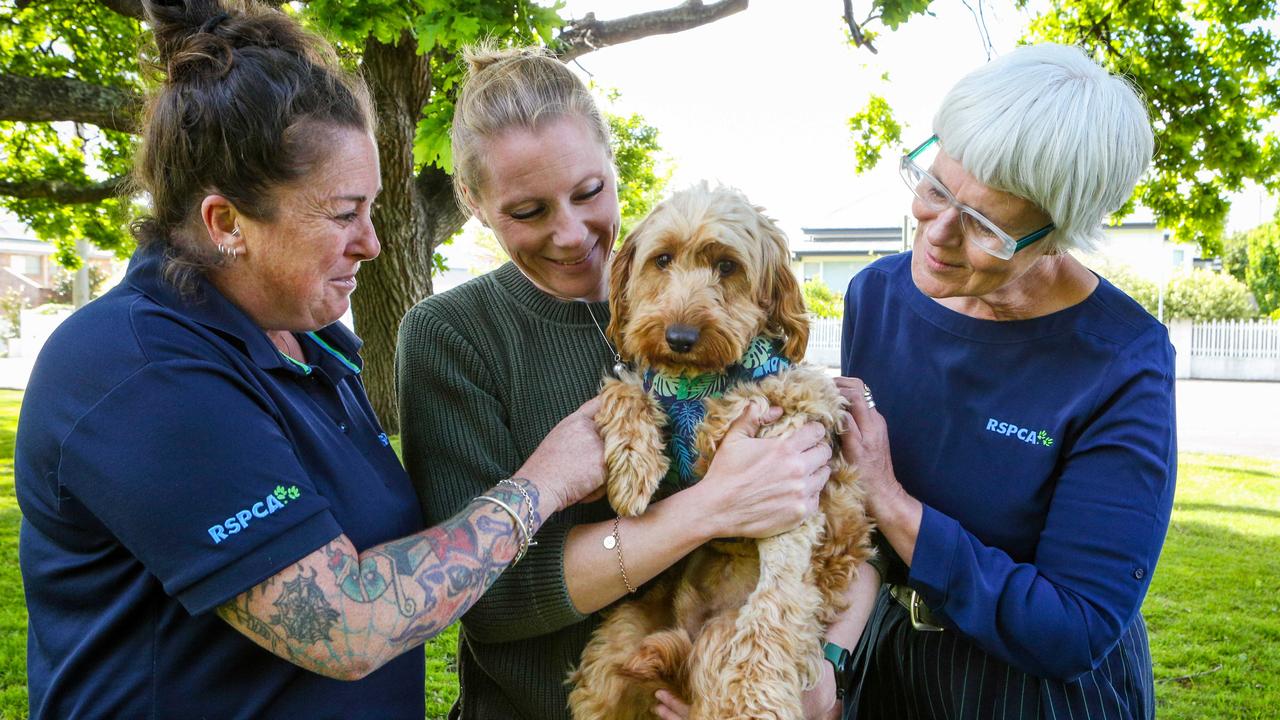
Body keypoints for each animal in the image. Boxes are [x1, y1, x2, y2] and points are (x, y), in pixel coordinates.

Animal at [573, 181, 880, 712]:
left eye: (727, 266)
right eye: (662, 259)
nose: (679, 337)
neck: (696, 382)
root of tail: (682, 650)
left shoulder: (796, 479)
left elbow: (774, 606)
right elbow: (626, 388)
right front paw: (633, 467)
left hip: (718, 642)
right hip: (614, 652)